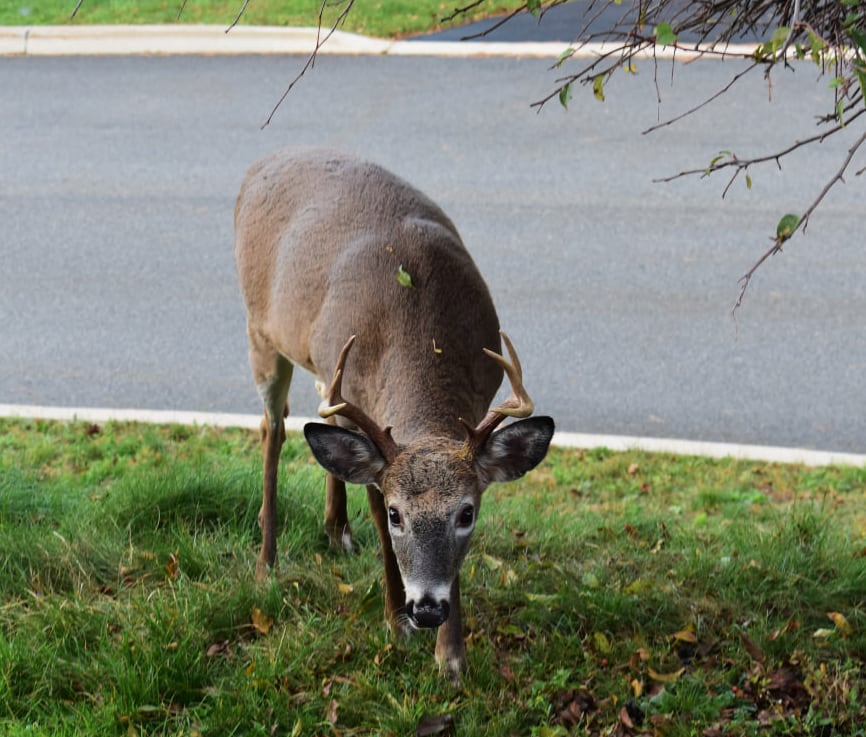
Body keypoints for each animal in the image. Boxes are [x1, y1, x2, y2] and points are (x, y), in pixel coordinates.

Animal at [234, 147, 555, 682]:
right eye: (396, 512)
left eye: (467, 512)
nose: (426, 608)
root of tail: (264, 161)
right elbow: (381, 530)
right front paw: (396, 623)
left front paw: (451, 657)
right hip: (261, 332)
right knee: (271, 427)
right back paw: (265, 562)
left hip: (325, 373)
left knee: (316, 423)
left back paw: (337, 531)